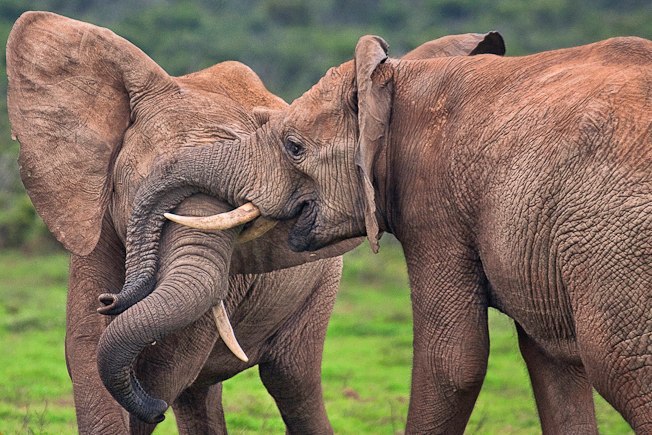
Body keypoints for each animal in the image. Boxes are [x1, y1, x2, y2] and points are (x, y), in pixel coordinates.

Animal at [3, 9, 504, 432]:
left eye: (241, 215)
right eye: (138, 184)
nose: (112, 300)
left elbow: (168, 362)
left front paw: (150, 403)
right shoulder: (97, 220)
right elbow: (85, 348)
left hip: (321, 285)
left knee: (290, 381)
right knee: (201, 391)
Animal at [122, 29, 652, 432]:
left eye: (294, 146)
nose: (111, 300)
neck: (400, 77)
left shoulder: (434, 201)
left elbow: (453, 362)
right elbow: (550, 364)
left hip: (615, 245)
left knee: (620, 363)